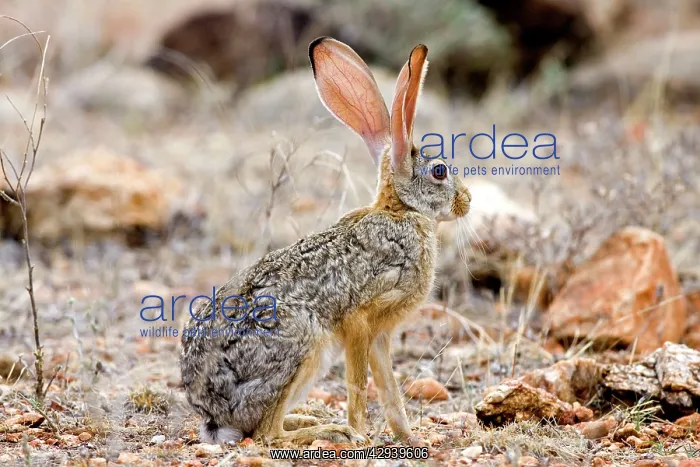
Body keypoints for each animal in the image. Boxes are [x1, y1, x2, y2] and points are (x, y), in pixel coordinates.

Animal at [180, 36, 471, 446]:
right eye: (440, 171)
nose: (467, 201)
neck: (402, 211)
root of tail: (211, 414)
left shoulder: (381, 335)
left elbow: (390, 391)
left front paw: (409, 438)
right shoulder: (360, 319)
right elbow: (358, 384)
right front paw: (361, 433)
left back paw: (312, 418)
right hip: (302, 347)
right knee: (268, 434)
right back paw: (331, 429)